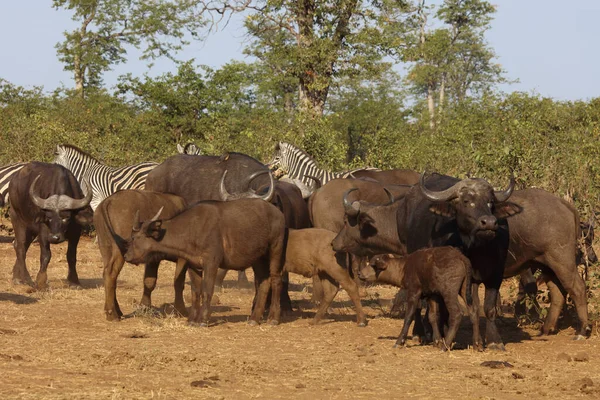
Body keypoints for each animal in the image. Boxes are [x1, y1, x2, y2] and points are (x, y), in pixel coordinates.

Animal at [8, 161, 94, 290]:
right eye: (48, 217)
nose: (54, 238)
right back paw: (26, 279)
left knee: (19, 245)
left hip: (30, 229)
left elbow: (71, 256)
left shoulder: (76, 232)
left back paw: (17, 277)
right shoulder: (43, 231)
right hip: (17, 219)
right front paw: (41, 282)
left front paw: (74, 281)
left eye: (66, 217)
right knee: (21, 247)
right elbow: (45, 255)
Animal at [94, 189, 188, 320]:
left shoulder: (153, 259)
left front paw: (144, 307)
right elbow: (179, 282)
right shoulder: (183, 258)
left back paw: (116, 310)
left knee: (108, 275)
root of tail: (108, 201)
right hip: (119, 250)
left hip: (105, 249)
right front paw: (181, 310)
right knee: (110, 273)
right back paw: (112, 313)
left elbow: (149, 281)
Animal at [122, 188, 286, 324]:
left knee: (276, 279)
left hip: (276, 249)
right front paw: (192, 319)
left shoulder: (211, 263)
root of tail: (278, 213)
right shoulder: (192, 265)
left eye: (134, 238)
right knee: (264, 282)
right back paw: (254, 319)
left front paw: (203, 319)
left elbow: (207, 290)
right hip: (258, 258)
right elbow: (195, 292)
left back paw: (273, 318)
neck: (192, 228)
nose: (127, 256)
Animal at [332, 173, 592, 348]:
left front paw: (425, 333)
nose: (334, 243)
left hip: (562, 260)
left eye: (346, 222)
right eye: (466, 201)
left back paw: (582, 330)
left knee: (578, 288)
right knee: (558, 292)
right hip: (545, 264)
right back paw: (546, 328)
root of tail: (565, 204)